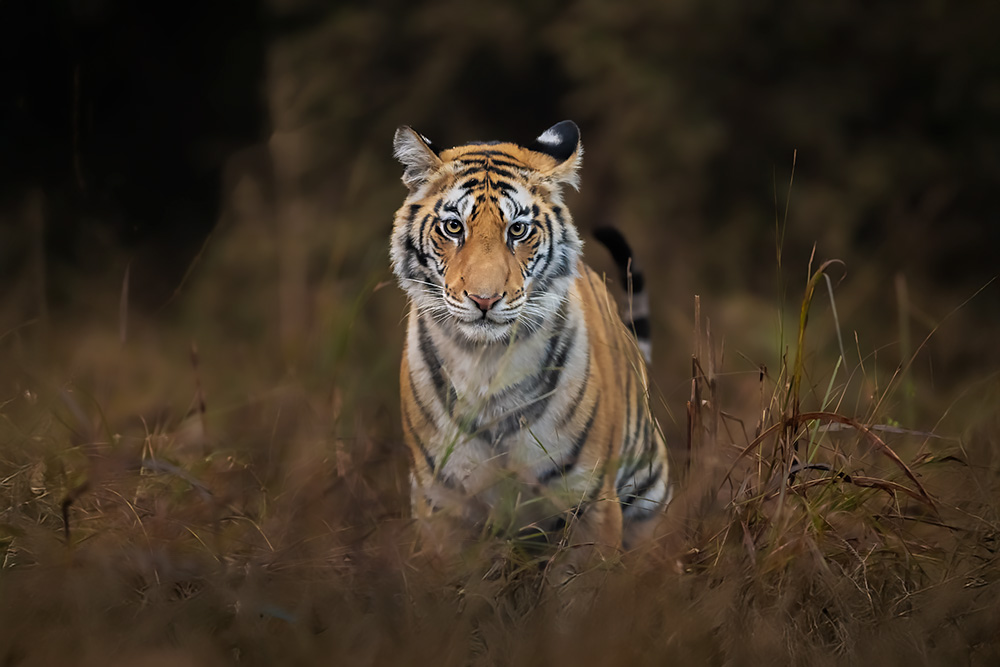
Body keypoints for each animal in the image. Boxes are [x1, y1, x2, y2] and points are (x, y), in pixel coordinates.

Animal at [389, 121, 672, 571]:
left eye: (517, 230)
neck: (486, 363)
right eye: (454, 227)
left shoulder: (589, 499)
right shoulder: (441, 505)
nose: (484, 299)